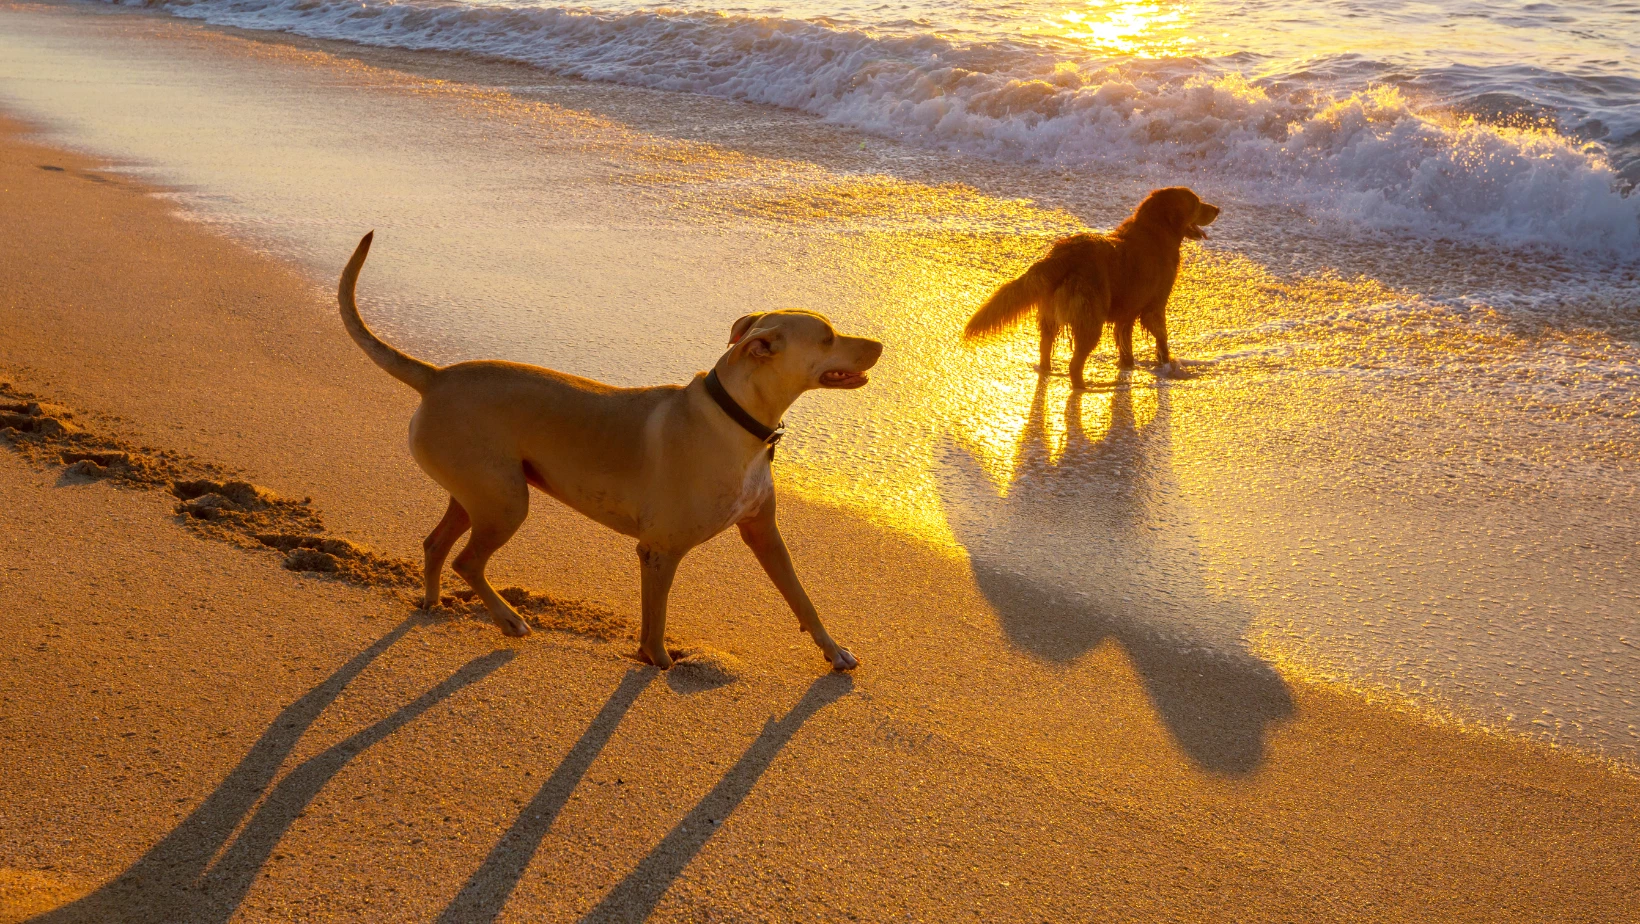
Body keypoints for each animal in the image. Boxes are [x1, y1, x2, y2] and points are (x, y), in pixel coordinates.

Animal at [334, 233, 892, 672]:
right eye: (827, 337)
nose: (884, 345)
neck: (735, 418)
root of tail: (436, 377)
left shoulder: (764, 534)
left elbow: (802, 598)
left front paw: (834, 651)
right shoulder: (660, 550)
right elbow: (656, 621)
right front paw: (659, 662)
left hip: (480, 492)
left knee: (436, 545)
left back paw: (431, 601)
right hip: (506, 502)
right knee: (467, 561)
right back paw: (510, 619)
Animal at [957, 187, 1220, 390]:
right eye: (1196, 203)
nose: (1217, 209)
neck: (1157, 230)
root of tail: (1059, 255)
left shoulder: (1126, 314)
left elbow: (1126, 344)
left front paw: (1129, 365)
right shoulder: (1154, 306)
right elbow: (1162, 338)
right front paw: (1167, 364)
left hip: (1051, 315)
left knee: (1045, 349)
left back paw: (1050, 372)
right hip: (1090, 318)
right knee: (1075, 363)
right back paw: (1085, 386)